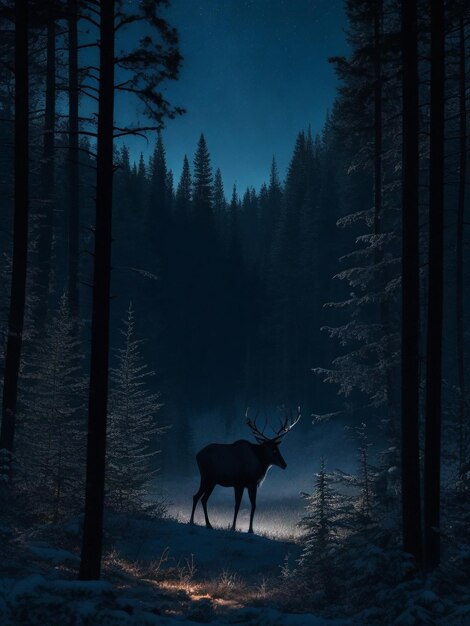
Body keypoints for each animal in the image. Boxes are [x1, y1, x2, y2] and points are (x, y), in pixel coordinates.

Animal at [190, 404, 302, 532]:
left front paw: (250, 529)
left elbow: (253, 505)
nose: (284, 464)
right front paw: (233, 527)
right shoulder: (240, 483)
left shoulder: (250, 484)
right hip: (207, 477)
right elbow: (237, 505)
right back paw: (197, 522)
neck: (259, 465)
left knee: (200, 498)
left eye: (278, 449)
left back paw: (204, 523)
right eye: (273, 450)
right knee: (199, 497)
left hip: (211, 481)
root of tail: (197, 455)